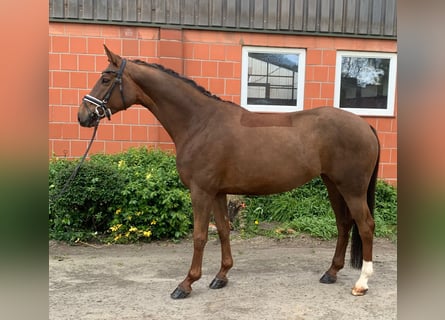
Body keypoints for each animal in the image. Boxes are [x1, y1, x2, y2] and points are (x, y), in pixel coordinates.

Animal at [77, 46, 378, 298]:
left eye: (106, 79)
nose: (83, 115)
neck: (200, 122)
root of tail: (365, 125)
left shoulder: (200, 191)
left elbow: (199, 236)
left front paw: (186, 283)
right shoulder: (218, 192)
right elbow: (222, 231)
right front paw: (221, 276)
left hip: (351, 188)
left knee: (365, 225)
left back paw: (361, 283)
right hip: (333, 184)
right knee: (344, 224)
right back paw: (331, 273)